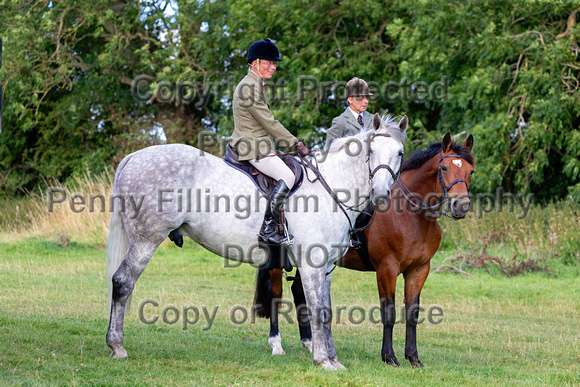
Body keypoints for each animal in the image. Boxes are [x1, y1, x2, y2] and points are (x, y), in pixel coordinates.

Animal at [105, 113, 408, 372]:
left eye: (400, 153)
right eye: (371, 152)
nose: (381, 194)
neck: (330, 188)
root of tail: (134, 157)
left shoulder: (327, 268)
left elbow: (326, 310)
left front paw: (333, 360)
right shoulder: (311, 265)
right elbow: (316, 308)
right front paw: (322, 359)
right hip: (146, 240)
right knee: (123, 282)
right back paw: (117, 346)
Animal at [256, 133, 474, 366]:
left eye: (470, 171)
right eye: (444, 168)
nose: (461, 205)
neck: (410, 215)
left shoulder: (419, 270)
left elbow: (412, 313)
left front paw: (413, 357)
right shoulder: (387, 269)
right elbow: (388, 312)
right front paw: (389, 357)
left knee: (298, 292)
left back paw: (309, 342)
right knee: (276, 296)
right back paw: (277, 344)